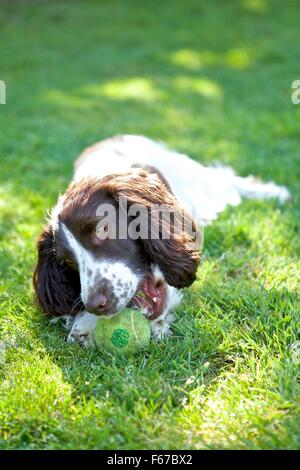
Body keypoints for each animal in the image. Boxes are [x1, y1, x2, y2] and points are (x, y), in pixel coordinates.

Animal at [33, 136, 290, 346]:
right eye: (69, 262)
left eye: (102, 228)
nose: (95, 304)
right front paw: (85, 323)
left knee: (224, 179)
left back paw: (273, 192)